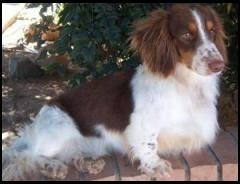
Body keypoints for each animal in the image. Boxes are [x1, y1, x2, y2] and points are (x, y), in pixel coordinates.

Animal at [1, 4, 227, 181]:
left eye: (212, 31)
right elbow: (148, 143)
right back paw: (52, 167)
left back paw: (87, 163)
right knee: (26, 155)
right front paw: (155, 165)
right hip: (58, 129)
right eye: (187, 35)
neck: (184, 83)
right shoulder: (140, 123)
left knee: (69, 153)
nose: (219, 65)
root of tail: (36, 124)